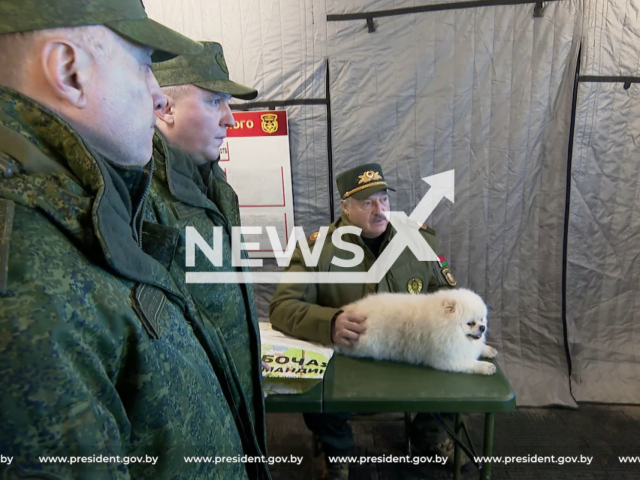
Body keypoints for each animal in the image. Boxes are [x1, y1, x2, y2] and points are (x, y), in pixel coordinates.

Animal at [336, 288, 500, 376]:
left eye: (482, 319)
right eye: (470, 323)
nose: (482, 327)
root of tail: (352, 309)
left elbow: (478, 347)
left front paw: (488, 350)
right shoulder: (447, 359)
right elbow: (470, 363)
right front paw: (485, 366)